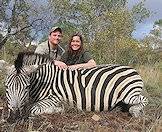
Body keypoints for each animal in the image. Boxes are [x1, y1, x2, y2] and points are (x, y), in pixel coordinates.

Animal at [2, 52, 147, 122]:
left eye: (26, 87)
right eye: (6, 87)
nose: (13, 117)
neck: (44, 81)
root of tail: (132, 69)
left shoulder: (55, 98)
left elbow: (32, 108)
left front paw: (59, 110)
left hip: (129, 94)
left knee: (143, 100)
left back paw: (135, 111)